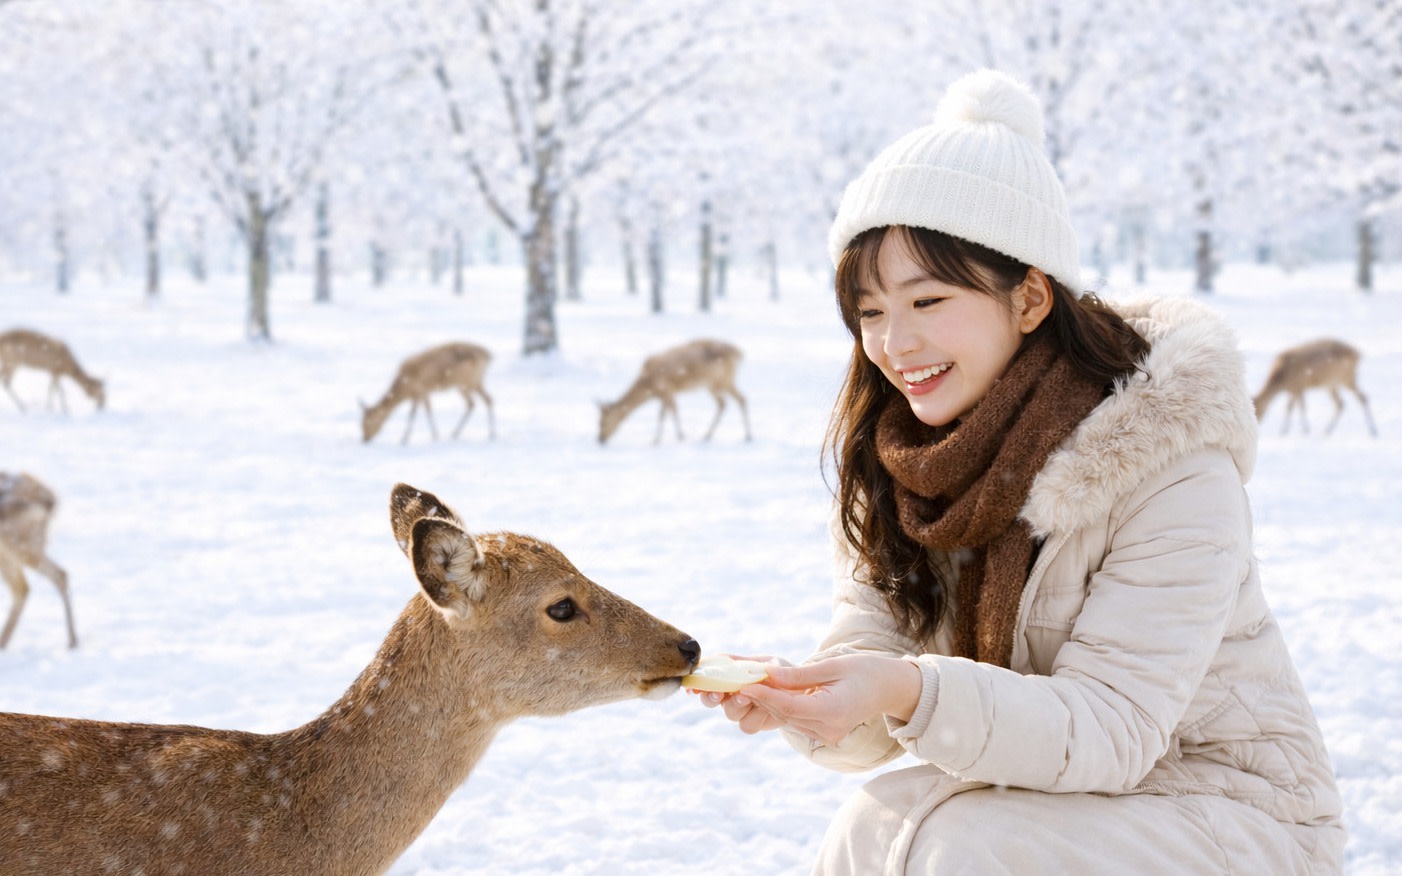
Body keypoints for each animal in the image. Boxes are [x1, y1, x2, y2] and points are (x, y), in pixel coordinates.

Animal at [0, 471, 78, 650]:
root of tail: (50, 500)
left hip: (20, 543)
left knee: (55, 575)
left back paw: (72, 641)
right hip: (15, 548)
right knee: (24, 588)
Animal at [361, 342, 495, 445]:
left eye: (367, 422)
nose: (364, 439)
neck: (404, 389)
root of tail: (488, 355)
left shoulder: (418, 392)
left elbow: (412, 415)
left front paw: (404, 440)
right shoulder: (425, 393)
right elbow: (428, 410)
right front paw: (435, 435)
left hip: (468, 382)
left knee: (480, 401)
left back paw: (490, 434)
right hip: (471, 382)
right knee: (479, 402)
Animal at [598, 338, 751, 445]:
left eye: (603, 422)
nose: (600, 439)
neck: (649, 388)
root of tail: (740, 353)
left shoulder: (665, 389)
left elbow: (664, 414)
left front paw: (661, 439)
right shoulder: (668, 393)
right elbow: (671, 411)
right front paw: (677, 436)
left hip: (721, 381)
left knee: (735, 400)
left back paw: (745, 435)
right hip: (719, 384)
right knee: (730, 402)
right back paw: (713, 436)